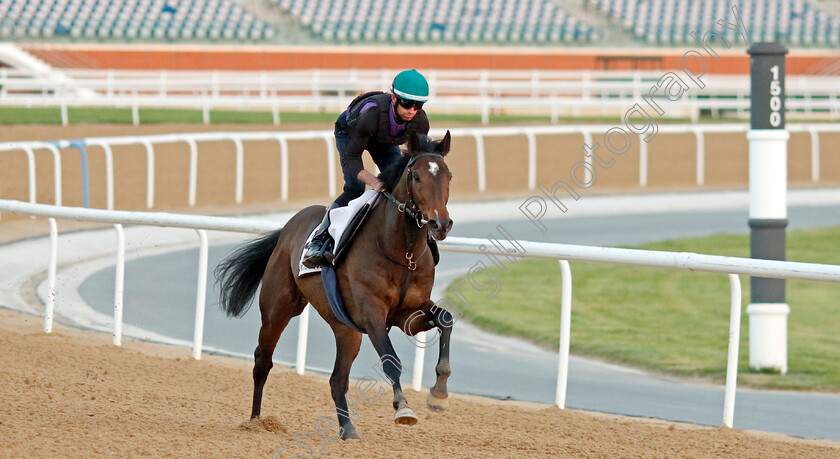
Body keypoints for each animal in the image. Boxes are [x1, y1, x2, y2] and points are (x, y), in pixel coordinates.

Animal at [215, 131, 452, 440]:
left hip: (346, 330)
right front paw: (403, 408)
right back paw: (255, 421)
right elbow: (390, 359)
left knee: (337, 379)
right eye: (417, 177)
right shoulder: (372, 314)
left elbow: (446, 319)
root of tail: (289, 225)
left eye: (448, 176)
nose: (440, 224)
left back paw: (348, 429)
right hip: (278, 309)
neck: (403, 252)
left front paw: (439, 393)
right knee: (262, 361)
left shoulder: (408, 315)